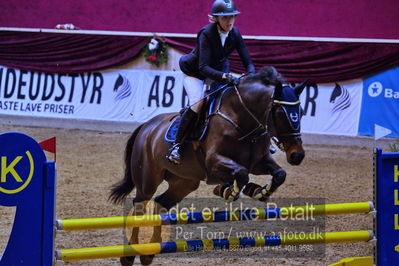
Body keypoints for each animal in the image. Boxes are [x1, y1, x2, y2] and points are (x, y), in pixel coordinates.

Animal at [109, 66, 306, 264]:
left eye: (301, 112)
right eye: (280, 113)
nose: (297, 155)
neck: (242, 119)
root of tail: (146, 127)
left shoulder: (258, 162)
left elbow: (279, 174)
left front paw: (259, 191)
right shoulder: (214, 162)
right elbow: (241, 173)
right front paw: (230, 191)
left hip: (184, 182)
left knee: (160, 204)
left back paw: (149, 253)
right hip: (148, 180)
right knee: (139, 207)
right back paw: (130, 254)